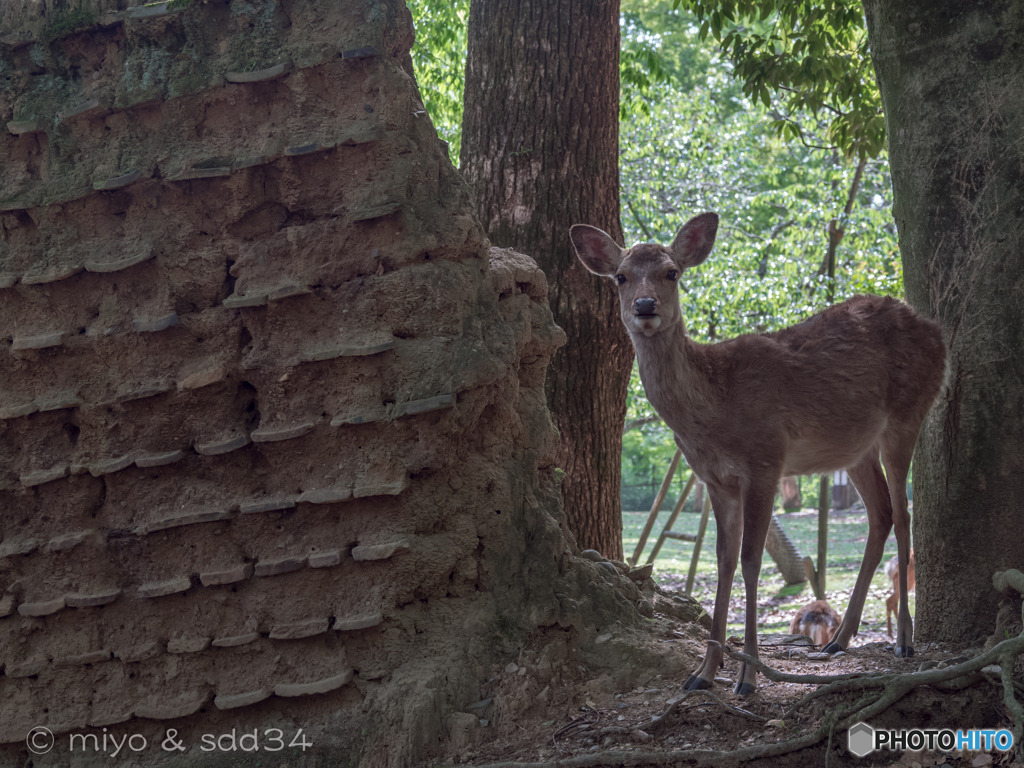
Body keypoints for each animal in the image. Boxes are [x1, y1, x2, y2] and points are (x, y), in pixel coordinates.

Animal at [569, 211, 942, 696]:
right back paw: (839, 639)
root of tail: (938, 334)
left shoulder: (765, 459)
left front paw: (747, 677)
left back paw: (904, 642)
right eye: (620, 276)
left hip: (906, 414)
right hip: (855, 447)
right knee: (879, 514)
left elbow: (750, 560)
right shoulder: (715, 479)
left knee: (902, 514)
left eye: (672, 272)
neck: (716, 407)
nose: (645, 306)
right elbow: (723, 560)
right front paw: (703, 673)